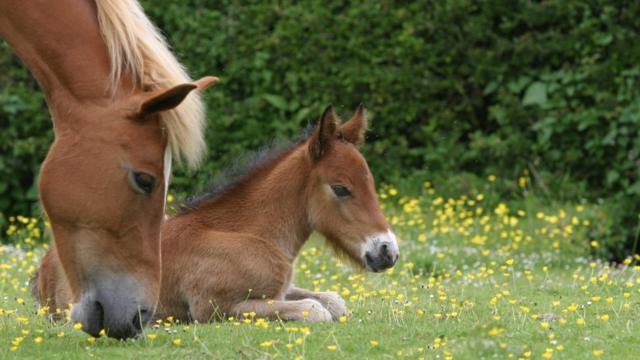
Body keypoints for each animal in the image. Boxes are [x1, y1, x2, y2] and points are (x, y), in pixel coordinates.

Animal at [158, 105, 398, 322]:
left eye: (371, 183)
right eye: (340, 189)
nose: (388, 251)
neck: (246, 235)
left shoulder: (282, 290)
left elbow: (334, 301)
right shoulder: (212, 308)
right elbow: (315, 309)